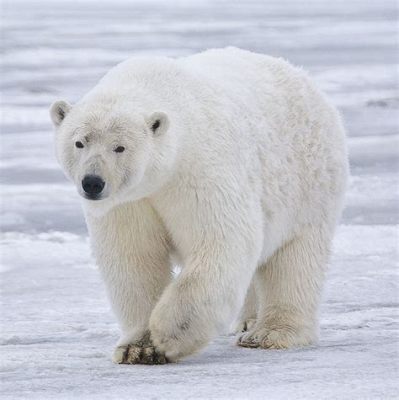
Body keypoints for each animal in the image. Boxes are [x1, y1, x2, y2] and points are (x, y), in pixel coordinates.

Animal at [50, 47, 350, 366]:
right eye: (79, 142)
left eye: (120, 147)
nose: (93, 182)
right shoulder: (128, 202)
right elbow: (134, 258)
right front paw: (138, 348)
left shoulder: (199, 170)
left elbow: (221, 241)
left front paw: (168, 334)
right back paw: (247, 321)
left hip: (308, 184)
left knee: (294, 259)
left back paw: (269, 333)